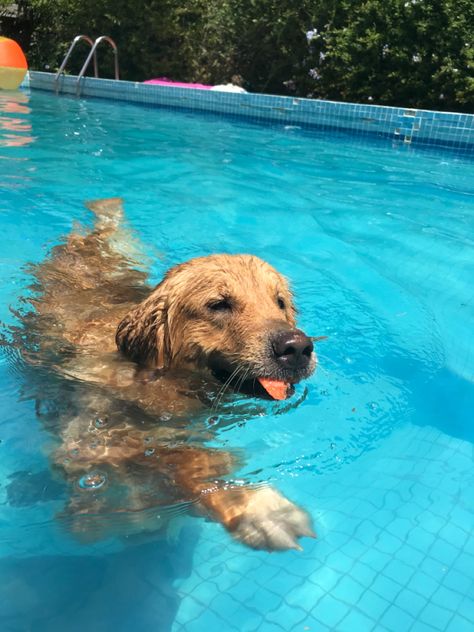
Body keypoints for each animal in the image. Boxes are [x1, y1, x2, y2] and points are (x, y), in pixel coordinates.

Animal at [9, 200, 316, 552]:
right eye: (219, 305)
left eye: (279, 302)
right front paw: (257, 507)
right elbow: (175, 456)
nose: (297, 347)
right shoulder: (92, 439)